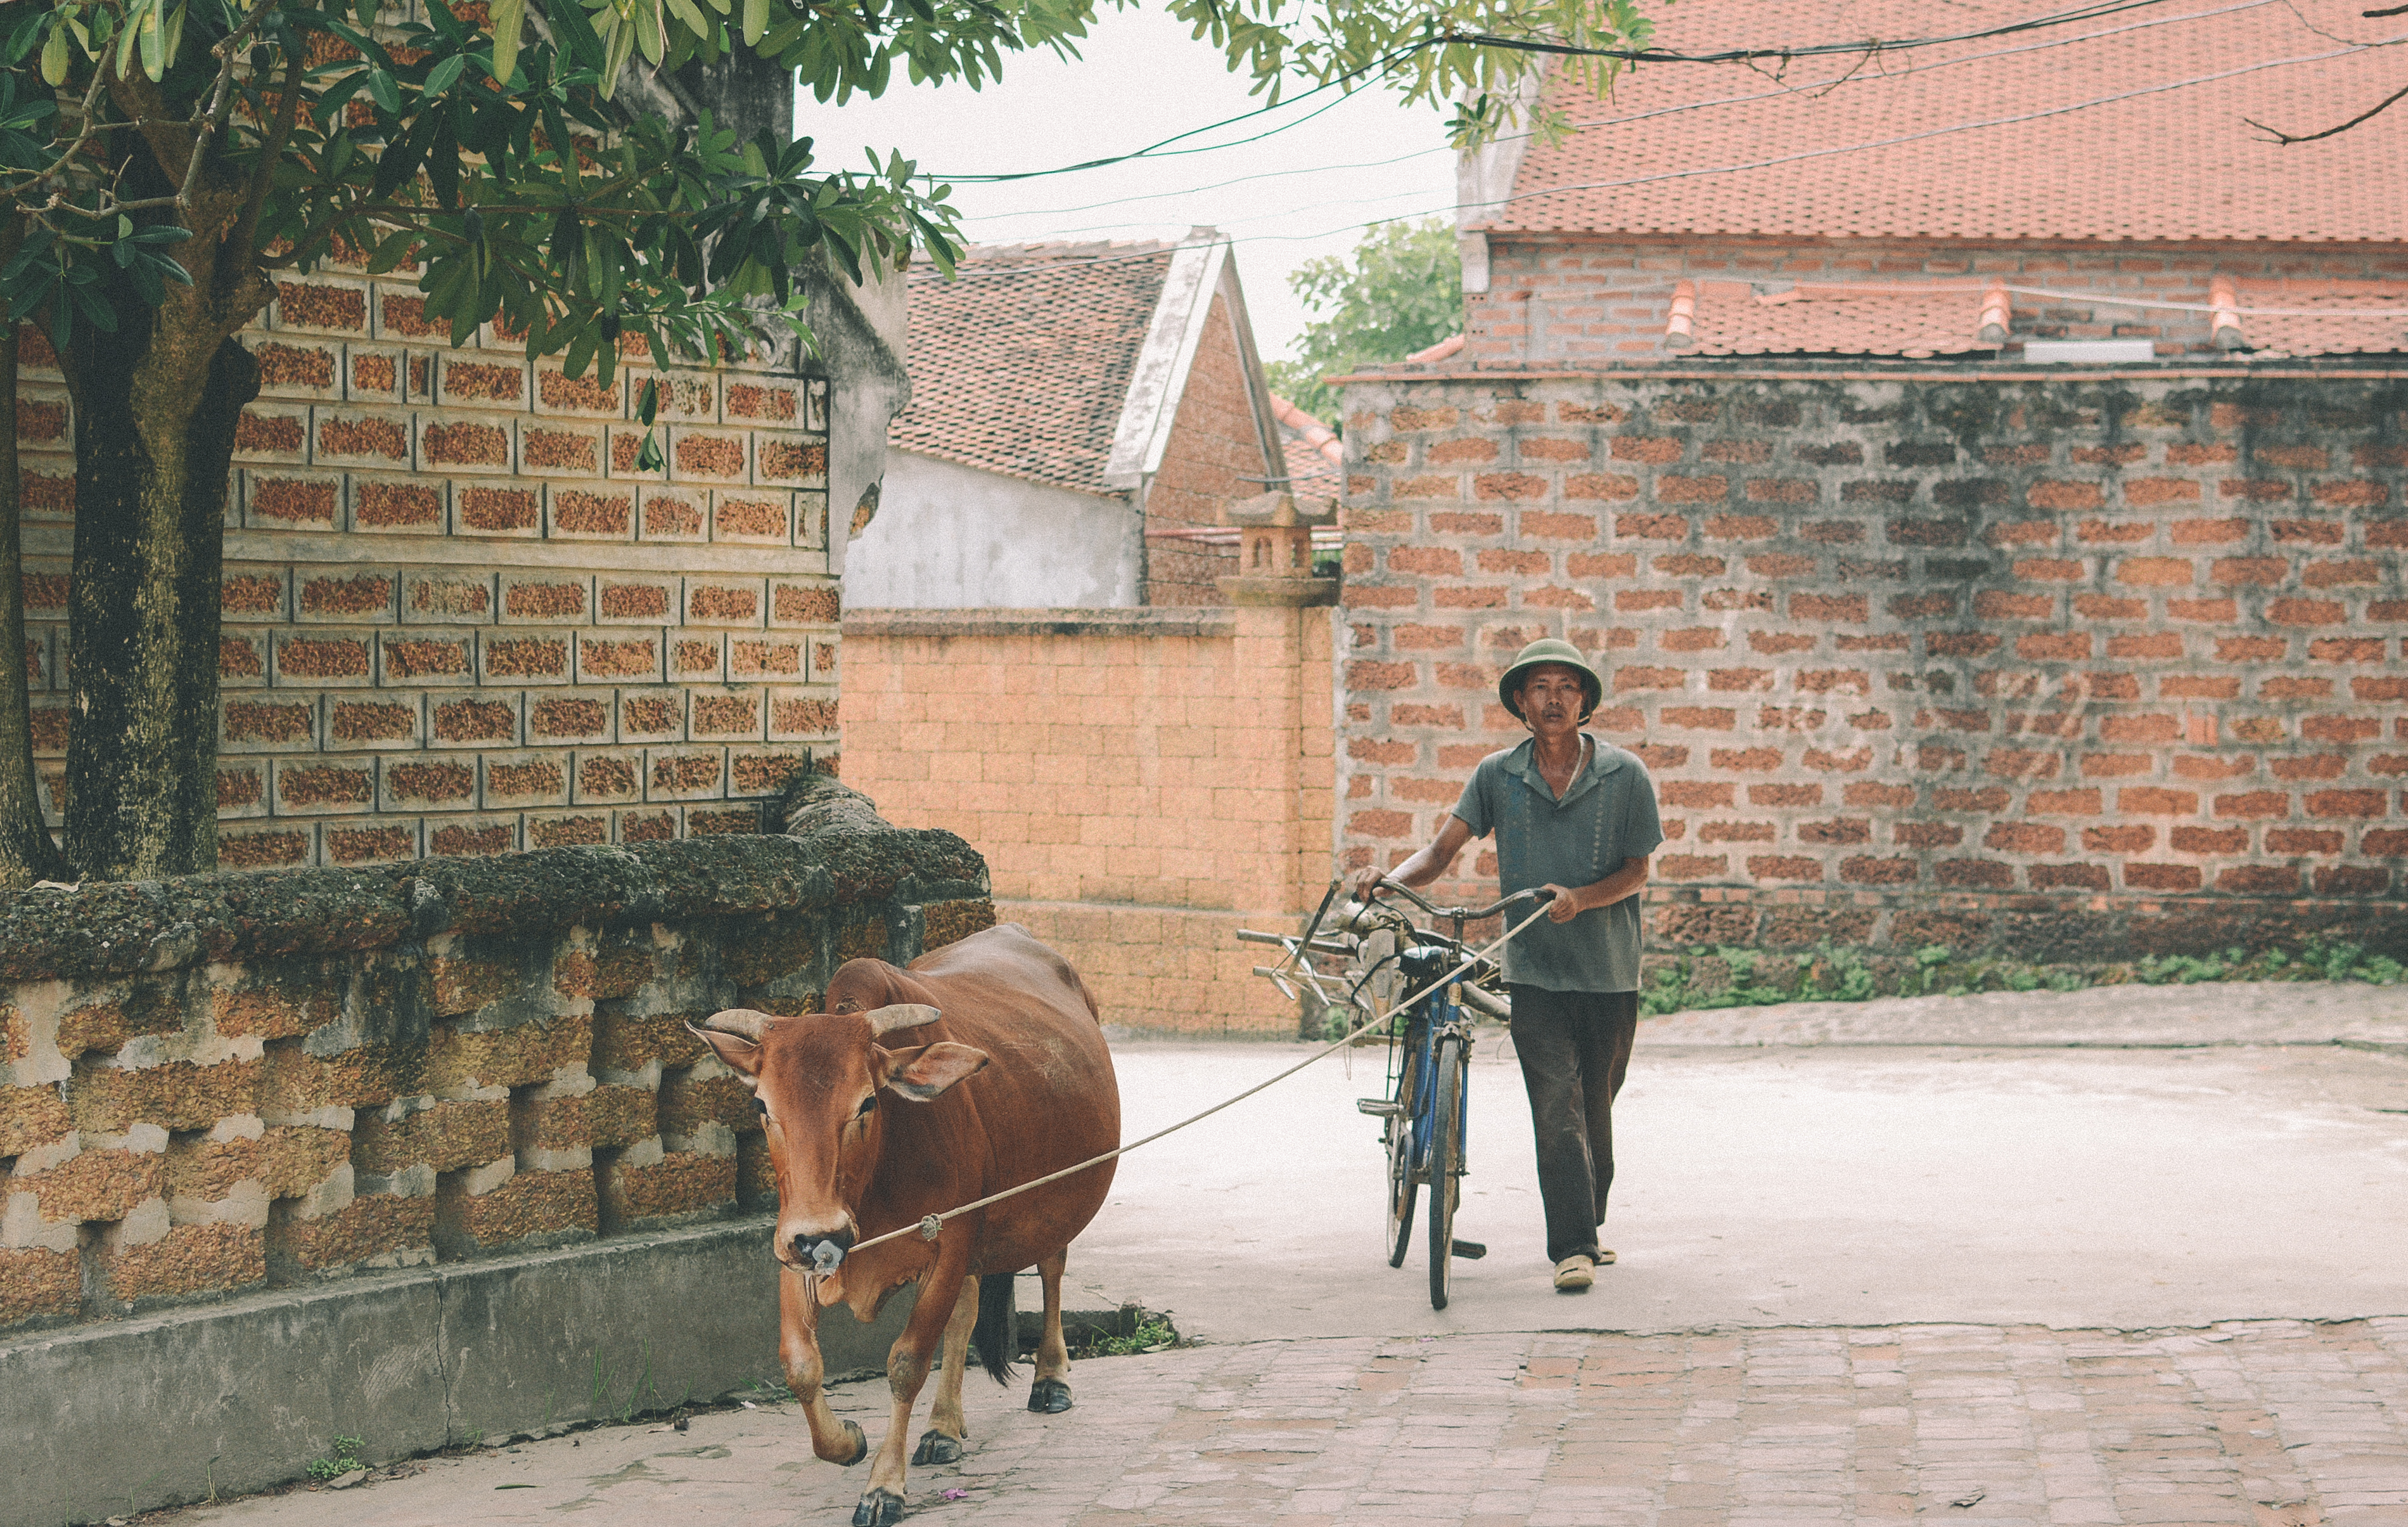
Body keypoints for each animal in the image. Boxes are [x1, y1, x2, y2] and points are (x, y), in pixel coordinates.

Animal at [688, 920, 1117, 1512]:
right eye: (762, 1106)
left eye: (868, 1102)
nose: (820, 1235)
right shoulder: (793, 1247)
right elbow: (800, 1364)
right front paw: (846, 1441)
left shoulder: (949, 1243)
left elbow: (907, 1363)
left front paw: (883, 1485)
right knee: (966, 1312)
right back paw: (943, 1428)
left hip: (1056, 1196)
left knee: (1052, 1265)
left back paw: (1051, 1378)